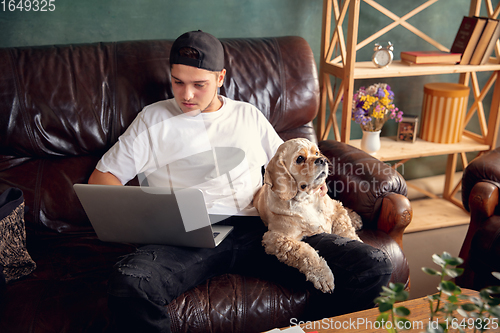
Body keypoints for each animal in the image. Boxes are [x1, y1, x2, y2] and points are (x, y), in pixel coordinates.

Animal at [252, 137, 362, 294]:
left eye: (316, 153)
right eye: (299, 159)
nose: (323, 160)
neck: (306, 200)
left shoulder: (336, 210)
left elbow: (346, 230)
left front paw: (357, 239)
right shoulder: (275, 238)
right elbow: (305, 252)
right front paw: (323, 276)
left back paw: (356, 218)